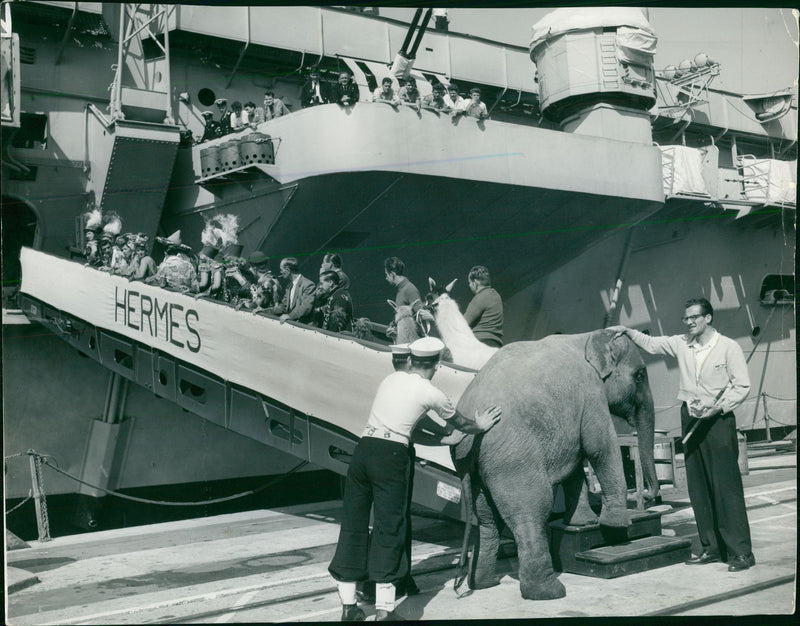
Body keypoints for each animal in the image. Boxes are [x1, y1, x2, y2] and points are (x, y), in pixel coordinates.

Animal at [454, 330, 660, 596]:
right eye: (640, 376)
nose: (647, 495)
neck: (586, 337)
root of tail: (467, 434)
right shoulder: (591, 392)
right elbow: (600, 446)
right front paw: (615, 526)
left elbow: (577, 463)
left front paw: (584, 523)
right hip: (512, 459)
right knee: (531, 511)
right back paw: (550, 593)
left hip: (481, 469)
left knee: (488, 519)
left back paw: (483, 584)